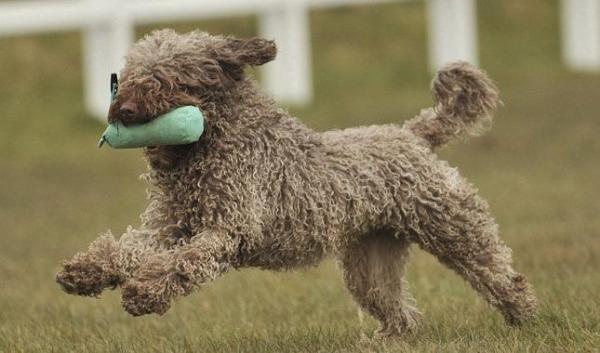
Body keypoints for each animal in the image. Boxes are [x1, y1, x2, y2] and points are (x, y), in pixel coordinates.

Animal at [56, 29, 536, 336]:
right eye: (129, 71)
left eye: (171, 77)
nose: (124, 109)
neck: (207, 149)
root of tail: (410, 134)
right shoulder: (168, 227)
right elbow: (126, 249)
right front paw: (85, 272)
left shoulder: (228, 229)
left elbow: (183, 263)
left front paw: (144, 293)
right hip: (370, 260)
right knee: (398, 311)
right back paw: (391, 338)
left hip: (455, 227)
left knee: (499, 275)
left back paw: (524, 317)